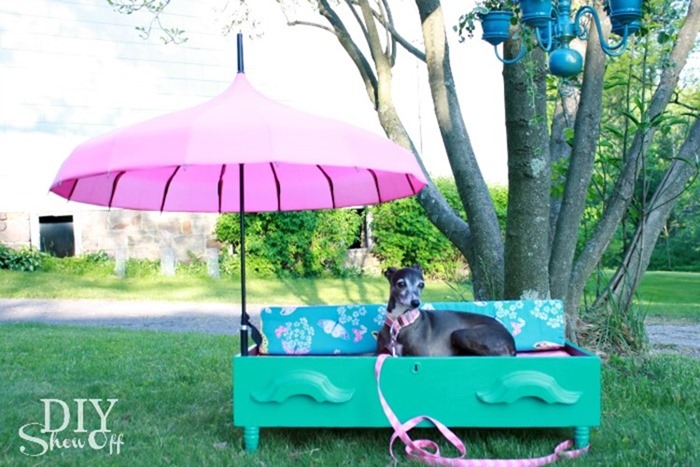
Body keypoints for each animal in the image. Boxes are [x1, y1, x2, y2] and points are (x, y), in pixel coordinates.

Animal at [378, 266, 516, 356]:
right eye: (401, 284)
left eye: (421, 284)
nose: (416, 303)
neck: (400, 322)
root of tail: (512, 344)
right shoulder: (379, 351)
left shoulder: (422, 354)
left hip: (460, 334)